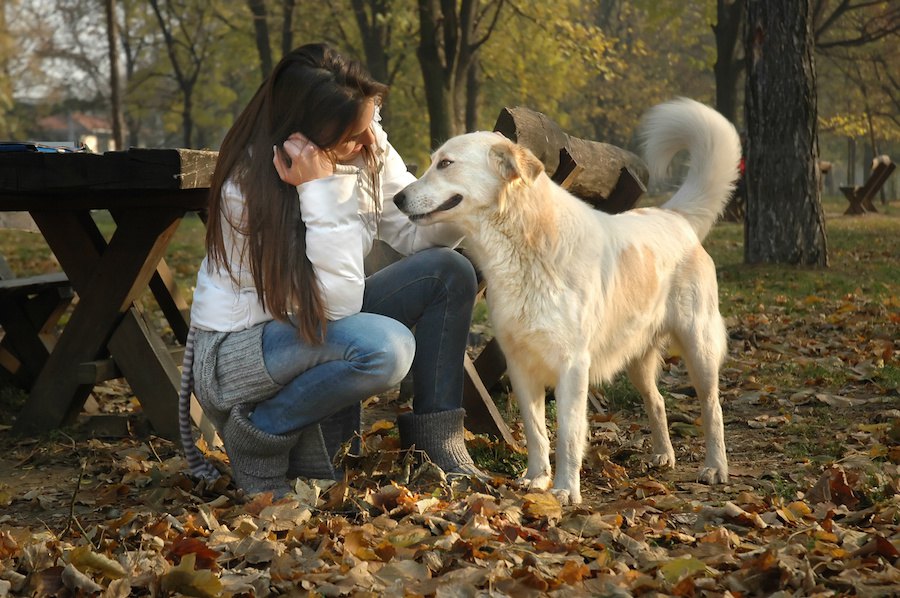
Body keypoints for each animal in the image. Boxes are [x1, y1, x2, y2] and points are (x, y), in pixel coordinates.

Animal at [394, 99, 740, 506]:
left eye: (446, 163)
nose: (397, 198)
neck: (523, 244)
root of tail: (674, 217)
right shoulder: (520, 366)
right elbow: (536, 432)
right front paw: (536, 479)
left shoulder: (572, 367)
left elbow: (570, 434)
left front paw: (564, 488)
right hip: (636, 358)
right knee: (657, 401)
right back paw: (662, 455)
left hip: (698, 347)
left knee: (712, 407)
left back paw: (715, 467)